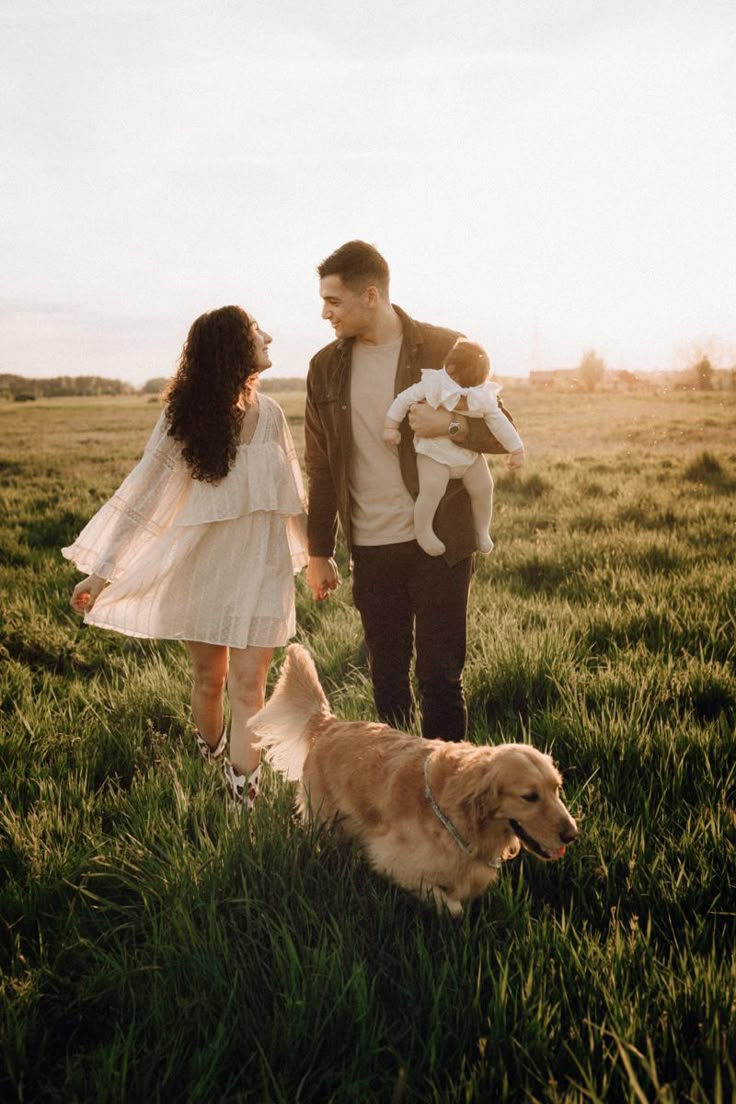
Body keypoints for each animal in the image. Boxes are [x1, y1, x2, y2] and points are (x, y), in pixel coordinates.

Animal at [250, 644, 578, 914]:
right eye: (529, 797)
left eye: (556, 789)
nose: (572, 834)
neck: (454, 810)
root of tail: (330, 723)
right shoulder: (393, 860)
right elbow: (453, 907)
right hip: (324, 817)